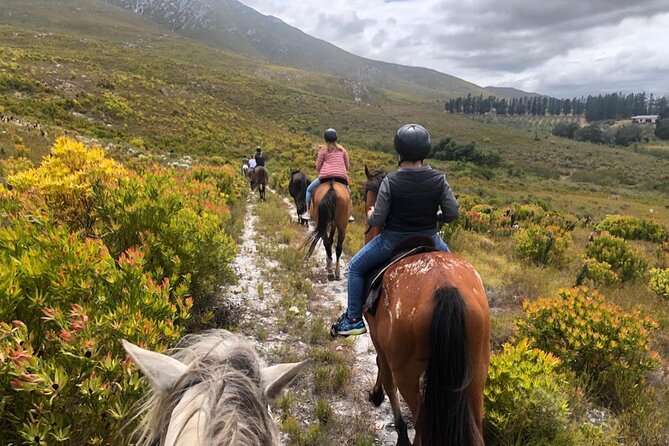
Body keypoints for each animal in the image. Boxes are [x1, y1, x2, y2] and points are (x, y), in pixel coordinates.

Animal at [362, 166, 488, 446]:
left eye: (365, 193)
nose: (366, 223)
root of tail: (445, 289)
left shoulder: (378, 340)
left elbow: (384, 374)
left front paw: (378, 397)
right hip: (477, 372)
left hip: (408, 373)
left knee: (420, 424)